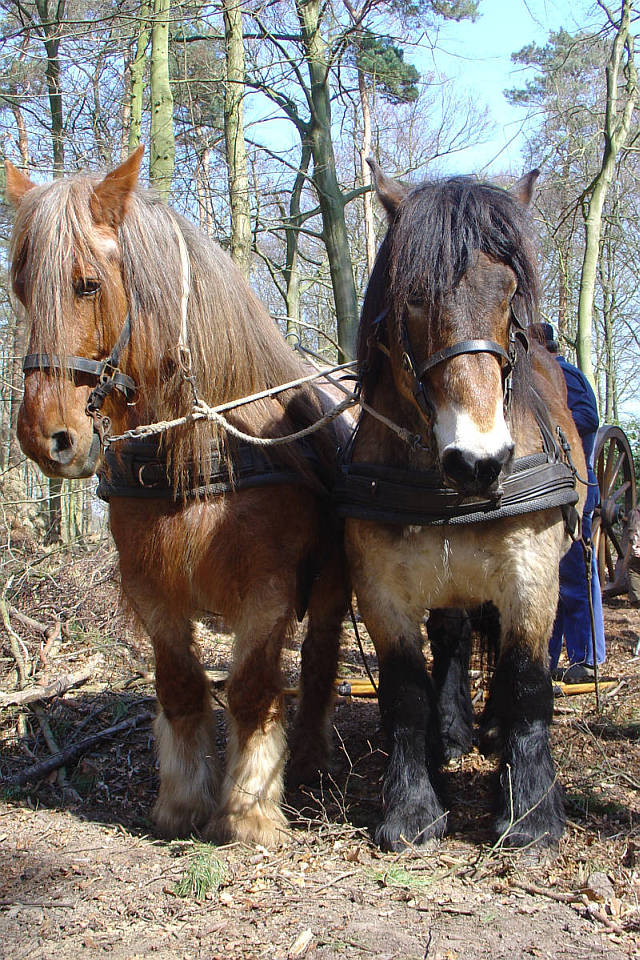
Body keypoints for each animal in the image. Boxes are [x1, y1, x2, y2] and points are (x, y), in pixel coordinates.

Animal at [3, 146, 350, 844]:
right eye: (21, 288)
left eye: (87, 284)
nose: (45, 437)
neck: (204, 452)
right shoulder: (149, 586)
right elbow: (183, 685)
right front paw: (184, 798)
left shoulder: (268, 590)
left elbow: (250, 690)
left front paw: (248, 808)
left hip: (330, 586)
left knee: (321, 660)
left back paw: (306, 759)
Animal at [338, 163, 588, 848]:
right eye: (414, 297)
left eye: (509, 294)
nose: (479, 460)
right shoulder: (380, 587)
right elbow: (405, 690)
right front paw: (413, 809)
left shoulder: (531, 575)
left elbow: (527, 680)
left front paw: (530, 814)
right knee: (450, 635)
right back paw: (450, 735)